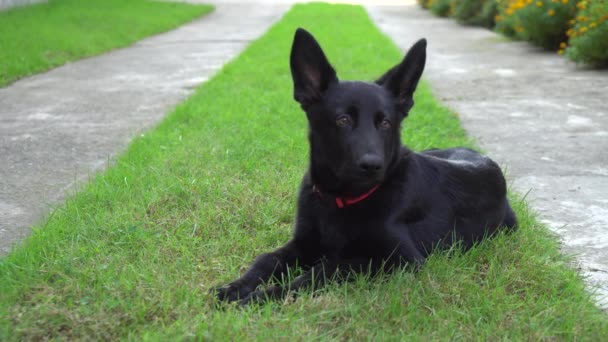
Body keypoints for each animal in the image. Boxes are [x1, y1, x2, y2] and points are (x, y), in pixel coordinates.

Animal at [211, 27, 516, 304]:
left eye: (385, 123)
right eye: (343, 120)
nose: (373, 166)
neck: (340, 199)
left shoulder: (400, 260)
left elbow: (326, 269)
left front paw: (265, 295)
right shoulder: (303, 243)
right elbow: (267, 259)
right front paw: (235, 286)